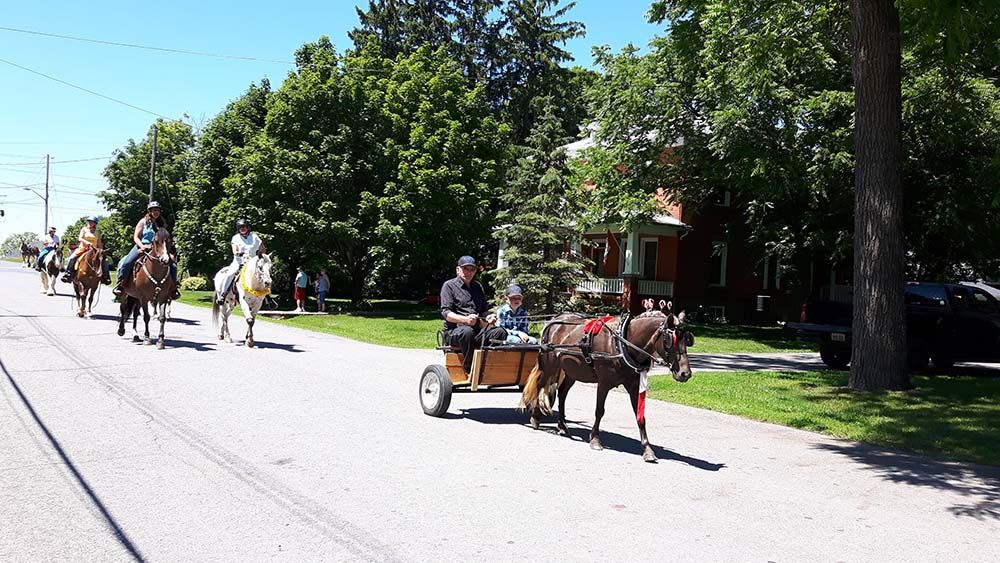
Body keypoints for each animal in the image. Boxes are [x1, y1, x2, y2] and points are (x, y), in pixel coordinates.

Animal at [519, 306, 694, 462]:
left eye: (687, 340)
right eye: (670, 340)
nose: (685, 374)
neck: (623, 342)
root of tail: (553, 321)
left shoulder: (633, 386)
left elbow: (640, 416)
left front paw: (647, 449)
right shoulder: (604, 383)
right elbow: (599, 411)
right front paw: (595, 440)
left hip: (571, 371)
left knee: (562, 393)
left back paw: (562, 425)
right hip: (549, 365)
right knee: (539, 385)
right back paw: (535, 417)